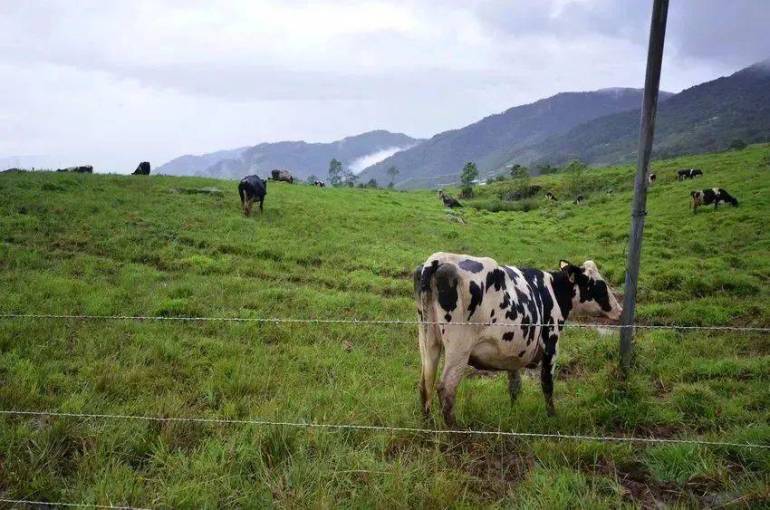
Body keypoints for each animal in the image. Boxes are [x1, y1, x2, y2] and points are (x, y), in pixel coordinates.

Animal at [412, 253, 620, 424]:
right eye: (601, 285)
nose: (619, 309)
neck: (552, 290)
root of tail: (437, 260)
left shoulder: (513, 352)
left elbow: (515, 386)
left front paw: (513, 413)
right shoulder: (551, 343)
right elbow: (547, 383)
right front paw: (552, 416)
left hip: (428, 339)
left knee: (425, 383)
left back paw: (427, 424)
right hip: (459, 348)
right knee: (446, 388)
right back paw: (455, 431)